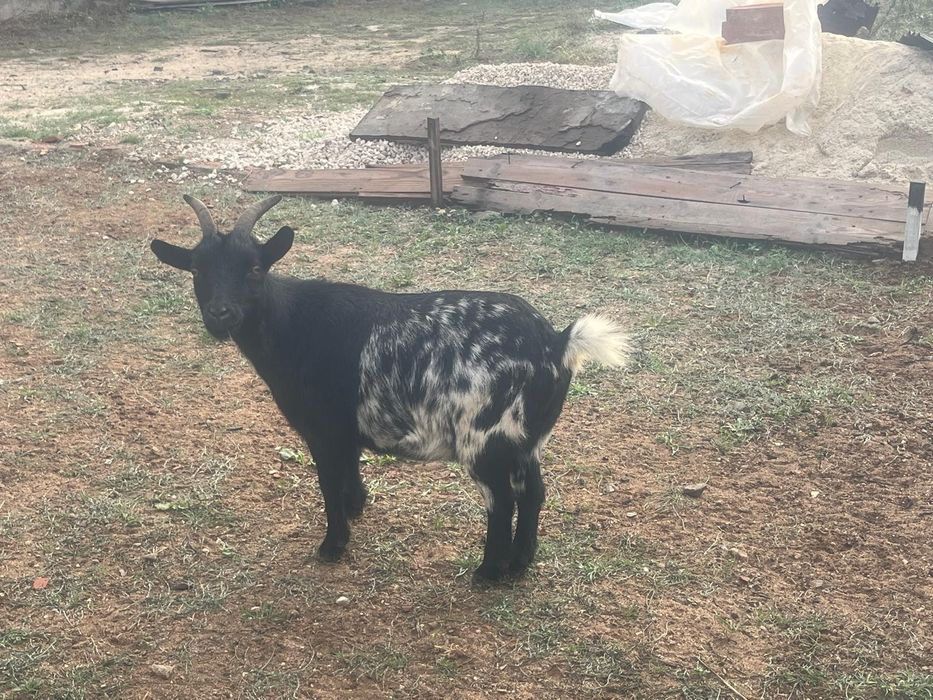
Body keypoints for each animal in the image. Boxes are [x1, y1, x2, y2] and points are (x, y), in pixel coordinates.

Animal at [150, 195, 630, 582]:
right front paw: (357, 508)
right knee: (533, 492)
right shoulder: (346, 431)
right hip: (527, 438)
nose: (221, 314)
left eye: (253, 268)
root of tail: (557, 343)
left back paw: (489, 572)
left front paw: (333, 544)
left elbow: (328, 483)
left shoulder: (324, 430)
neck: (292, 325)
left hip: (486, 434)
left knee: (502, 500)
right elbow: (349, 472)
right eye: (197, 270)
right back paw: (520, 564)